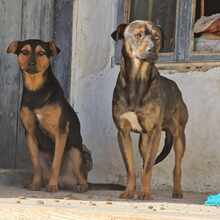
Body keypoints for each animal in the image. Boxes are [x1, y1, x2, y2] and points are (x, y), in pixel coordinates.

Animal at [6, 39, 124, 192]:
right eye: (24, 52)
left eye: (41, 53)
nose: (31, 63)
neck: (36, 90)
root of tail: (65, 181)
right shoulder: (30, 133)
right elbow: (35, 164)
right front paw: (35, 184)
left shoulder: (60, 132)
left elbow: (56, 162)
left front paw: (52, 186)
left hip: (76, 152)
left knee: (83, 179)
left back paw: (78, 186)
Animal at [111, 20, 188, 199]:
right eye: (138, 35)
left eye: (156, 37)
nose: (152, 49)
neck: (137, 80)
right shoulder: (123, 132)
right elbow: (131, 168)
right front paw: (129, 191)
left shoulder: (155, 132)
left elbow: (147, 168)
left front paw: (145, 193)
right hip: (144, 142)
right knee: (147, 160)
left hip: (179, 136)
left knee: (177, 167)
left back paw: (177, 191)